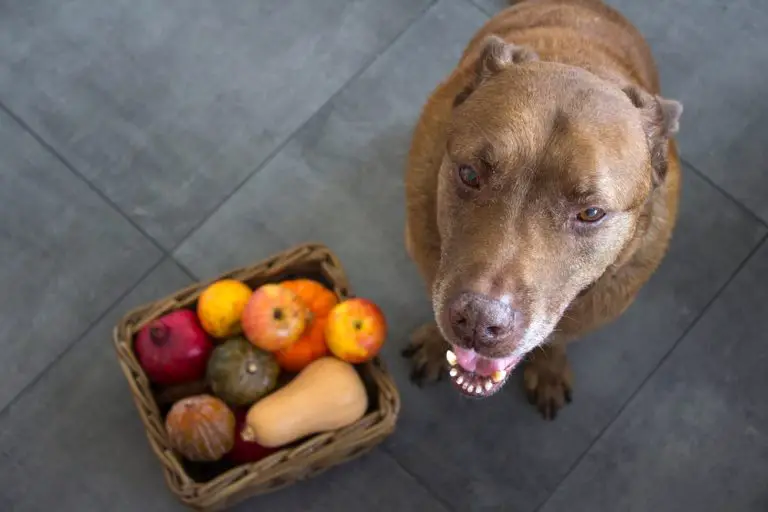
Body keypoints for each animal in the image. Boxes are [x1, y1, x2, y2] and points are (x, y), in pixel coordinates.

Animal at [402, 0, 684, 420]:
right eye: (469, 174)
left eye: (591, 213)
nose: (479, 321)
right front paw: (437, 345)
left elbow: (557, 338)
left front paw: (549, 368)